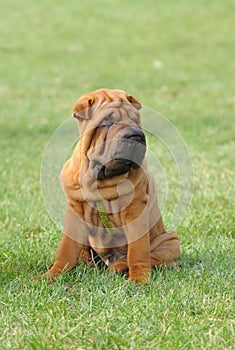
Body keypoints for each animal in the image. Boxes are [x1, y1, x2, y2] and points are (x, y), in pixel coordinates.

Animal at [42, 89, 180, 284]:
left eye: (136, 120)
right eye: (106, 121)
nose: (136, 136)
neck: (100, 181)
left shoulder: (135, 212)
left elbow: (137, 252)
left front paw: (139, 279)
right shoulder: (75, 215)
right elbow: (65, 251)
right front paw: (52, 275)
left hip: (170, 240)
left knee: (150, 257)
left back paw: (118, 267)